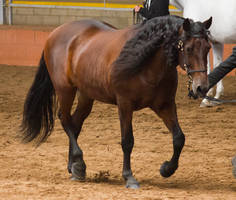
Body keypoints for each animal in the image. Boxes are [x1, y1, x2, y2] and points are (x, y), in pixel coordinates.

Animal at [20, 14, 212, 188]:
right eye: (188, 48)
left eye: (208, 48)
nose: (202, 87)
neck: (147, 64)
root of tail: (55, 32)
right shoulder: (125, 105)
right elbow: (127, 141)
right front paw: (129, 177)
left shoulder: (165, 106)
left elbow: (179, 138)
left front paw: (166, 169)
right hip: (65, 89)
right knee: (65, 119)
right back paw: (79, 164)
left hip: (86, 95)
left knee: (75, 123)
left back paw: (73, 166)